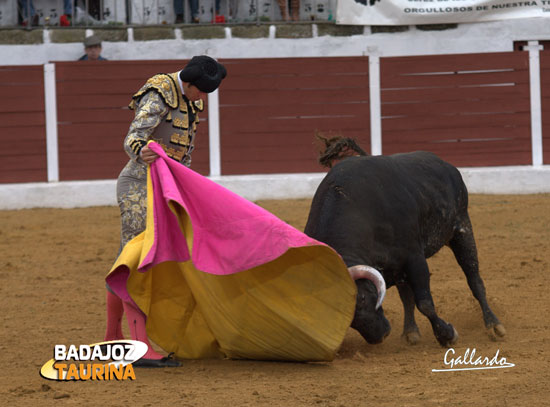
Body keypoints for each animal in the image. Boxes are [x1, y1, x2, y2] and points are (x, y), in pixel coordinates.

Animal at [306, 150, 508, 348]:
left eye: (361, 298)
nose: (379, 336)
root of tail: (446, 165)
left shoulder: (414, 258)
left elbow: (424, 302)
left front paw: (447, 335)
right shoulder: (398, 267)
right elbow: (409, 298)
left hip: (462, 228)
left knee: (474, 279)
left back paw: (493, 325)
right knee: (407, 296)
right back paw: (411, 332)